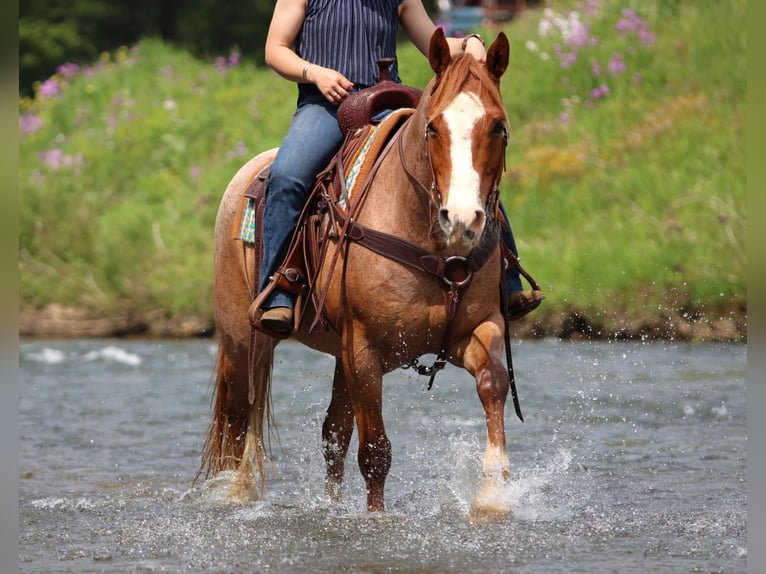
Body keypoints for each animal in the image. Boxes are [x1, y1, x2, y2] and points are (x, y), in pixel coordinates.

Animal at [199, 29, 518, 520]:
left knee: (333, 434)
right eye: (433, 128)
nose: (463, 221)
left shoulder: (476, 329)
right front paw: (375, 521)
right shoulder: (364, 349)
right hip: (241, 338)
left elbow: (493, 384)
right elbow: (375, 453)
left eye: (498, 126)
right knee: (237, 418)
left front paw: (492, 495)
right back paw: (232, 494)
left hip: (336, 353)